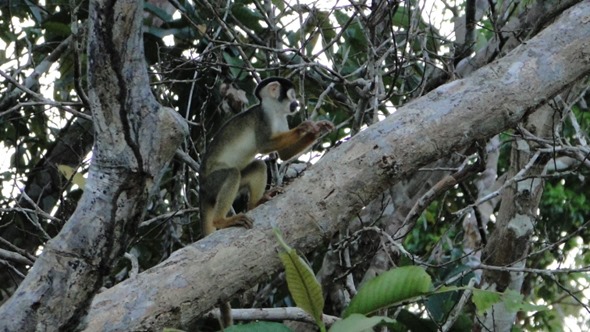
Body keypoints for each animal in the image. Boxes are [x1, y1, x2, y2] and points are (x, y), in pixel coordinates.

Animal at [201, 76, 336, 236]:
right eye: (292, 95)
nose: (296, 103)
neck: (274, 111)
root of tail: (201, 190)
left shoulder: (283, 118)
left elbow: (285, 154)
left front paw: (319, 129)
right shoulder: (262, 117)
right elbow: (264, 145)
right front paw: (302, 128)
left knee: (258, 166)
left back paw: (255, 204)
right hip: (211, 184)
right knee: (232, 174)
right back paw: (221, 221)